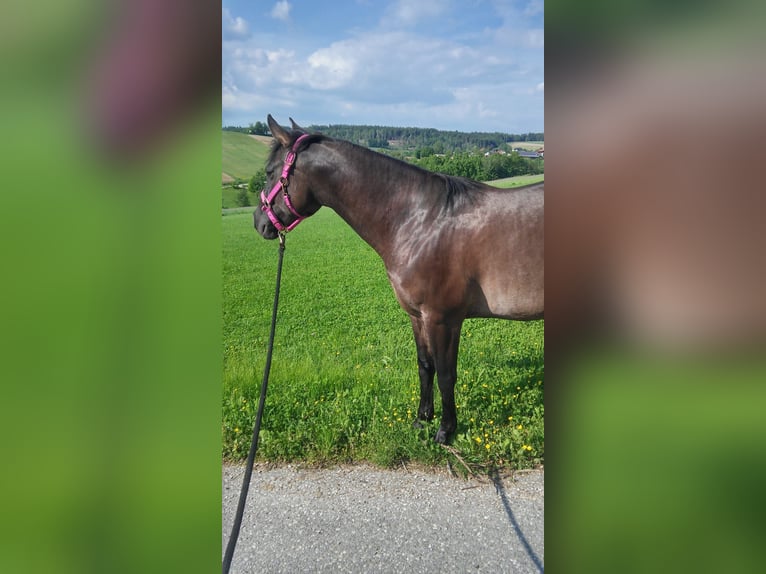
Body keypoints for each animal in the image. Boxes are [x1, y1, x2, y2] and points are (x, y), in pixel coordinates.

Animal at [254, 115, 544, 444]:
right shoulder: (418, 317)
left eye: (269, 172)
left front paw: (445, 431)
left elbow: (447, 374)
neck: (420, 221)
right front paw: (422, 419)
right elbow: (425, 366)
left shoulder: (443, 319)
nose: (259, 222)